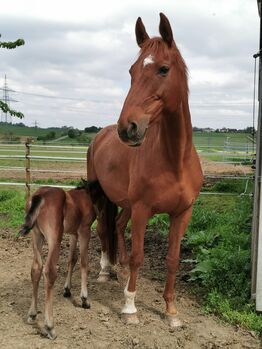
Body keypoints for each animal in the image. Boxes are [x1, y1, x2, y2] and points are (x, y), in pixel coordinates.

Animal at [19, 184, 115, 338]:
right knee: (49, 271)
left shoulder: (73, 233)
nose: (103, 215)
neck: (86, 196)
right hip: (54, 238)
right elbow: (84, 262)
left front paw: (67, 290)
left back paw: (32, 315)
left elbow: (72, 259)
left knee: (36, 269)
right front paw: (84, 299)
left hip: (36, 236)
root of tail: (40, 195)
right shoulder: (84, 231)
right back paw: (50, 326)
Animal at [87, 11, 204, 326]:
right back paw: (105, 270)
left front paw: (171, 311)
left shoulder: (182, 213)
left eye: (163, 69)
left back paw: (118, 267)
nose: (128, 128)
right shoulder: (142, 210)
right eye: (132, 71)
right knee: (102, 228)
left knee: (116, 225)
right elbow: (139, 256)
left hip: (124, 203)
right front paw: (130, 307)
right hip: (101, 195)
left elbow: (173, 259)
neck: (174, 161)